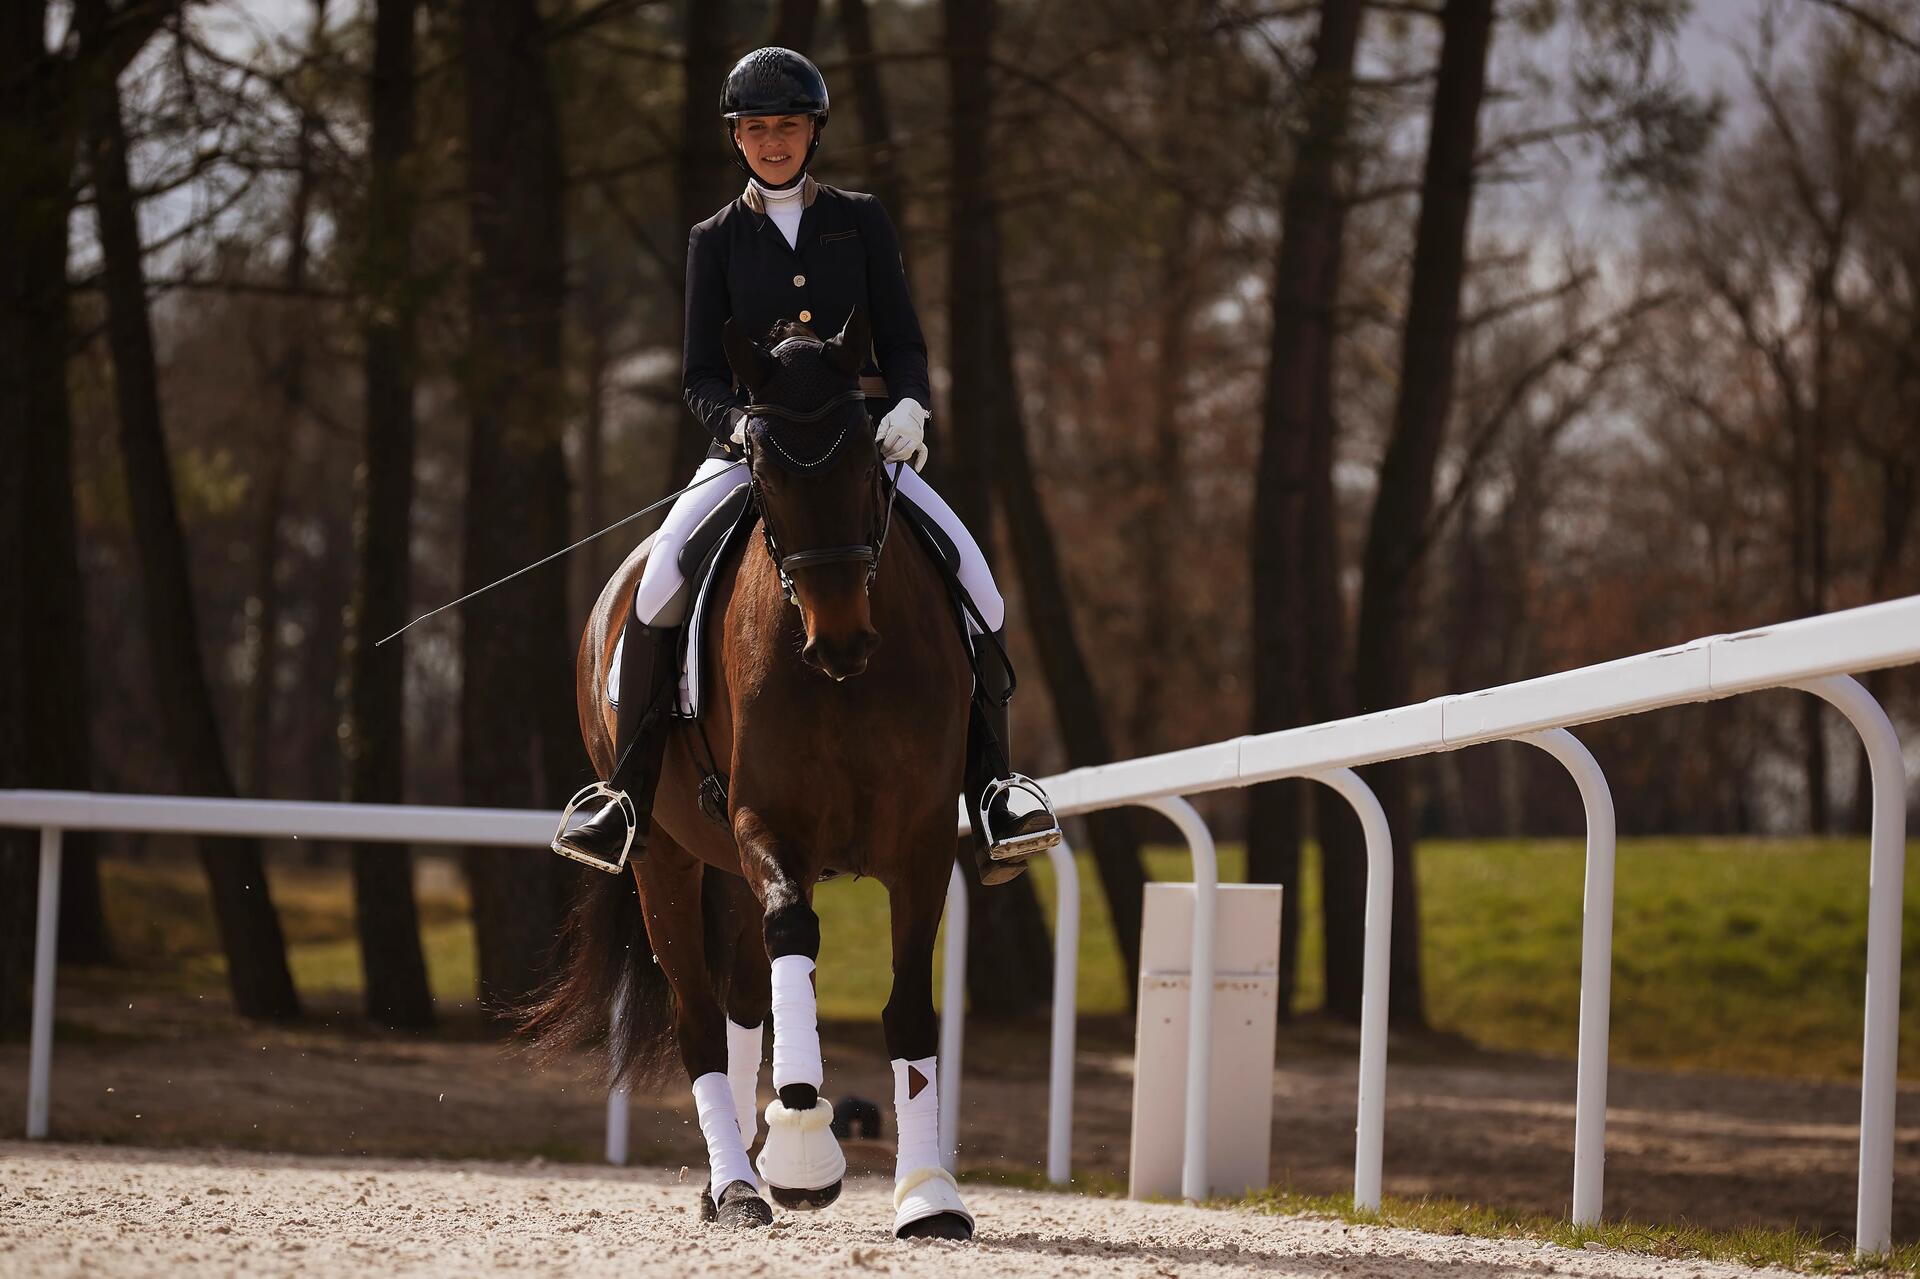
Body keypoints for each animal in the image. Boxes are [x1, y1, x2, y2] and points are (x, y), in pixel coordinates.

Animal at [522, 309, 975, 1236]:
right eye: (761, 469)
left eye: (869, 455)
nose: (840, 640)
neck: (843, 681)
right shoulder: (769, 827)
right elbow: (795, 934)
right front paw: (802, 1147)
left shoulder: (921, 844)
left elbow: (909, 1006)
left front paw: (928, 1195)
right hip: (666, 857)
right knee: (701, 1016)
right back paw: (737, 1185)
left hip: (723, 872)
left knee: (737, 1006)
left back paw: (733, 1175)